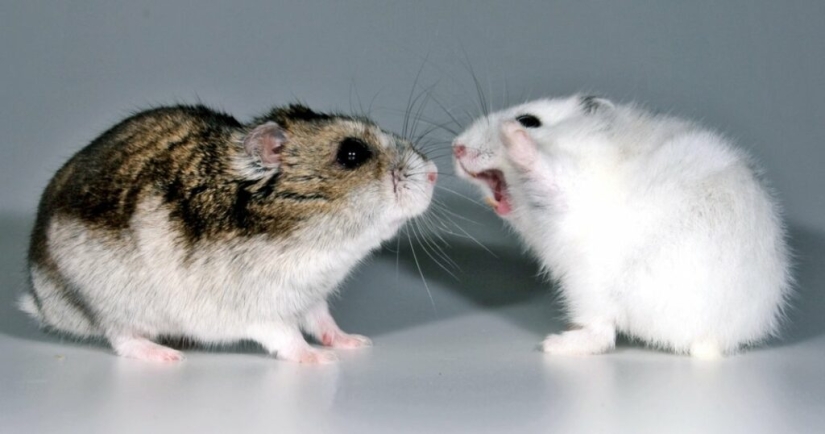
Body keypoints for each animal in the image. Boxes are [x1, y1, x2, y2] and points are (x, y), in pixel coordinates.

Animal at [20, 104, 437, 363]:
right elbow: (288, 338)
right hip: (111, 304)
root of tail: (42, 300)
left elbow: (324, 322)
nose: (434, 173)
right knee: (121, 338)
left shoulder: (310, 297)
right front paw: (322, 358)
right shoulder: (260, 310)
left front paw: (356, 342)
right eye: (352, 153)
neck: (321, 242)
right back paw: (167, 355)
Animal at [452, 94, 791, 358]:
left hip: (588, 288)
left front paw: (512, 134)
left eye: (529, 119)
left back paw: (553, 344)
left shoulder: (573, 182)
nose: (456, 147)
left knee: (601, 335)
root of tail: (710, 339)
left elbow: (544, 168)